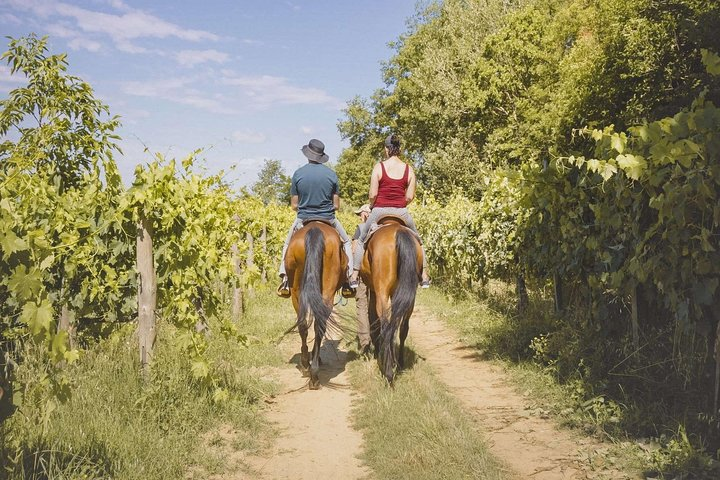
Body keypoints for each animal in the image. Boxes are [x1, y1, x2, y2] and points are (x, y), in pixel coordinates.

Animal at [286, 221, 348, 390]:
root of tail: (315, 229)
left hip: (297, 291)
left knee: (304, 324)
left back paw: (309, 367)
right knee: (316, 324)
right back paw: (313, 372)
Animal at [360, 218, 422, 382]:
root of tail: (398, 231)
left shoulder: (374, 290)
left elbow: (373, 318)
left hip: (382, 292)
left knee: (385, 325)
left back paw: (387, 370)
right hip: (410, 295)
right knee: (402, 327)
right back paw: (398, 362)